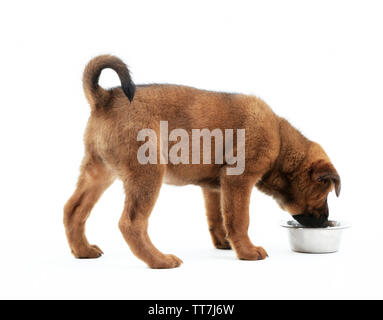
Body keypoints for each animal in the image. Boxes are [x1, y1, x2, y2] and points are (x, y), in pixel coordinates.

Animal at [63, 55, 342, 268]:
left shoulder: (215, 188)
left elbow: (219, 218)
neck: (281, 141)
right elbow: (239, 220)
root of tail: (104, 97)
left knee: (73, 210)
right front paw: (247, 251)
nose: (325, 222)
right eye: (324, 194)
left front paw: (226, 243)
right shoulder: (238, 181)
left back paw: (83, 250)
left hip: (98, 173)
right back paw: (160, 260)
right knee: (131, 223)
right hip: (148, 174)